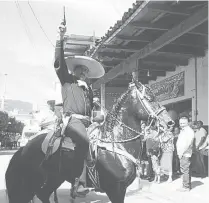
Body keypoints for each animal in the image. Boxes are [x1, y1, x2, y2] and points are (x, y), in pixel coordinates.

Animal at [5, 79, 175, 203]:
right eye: (150, 98)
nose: (169, 123)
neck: (116, 143)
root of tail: (25, 147)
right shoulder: (116, 189)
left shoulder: (121, 189)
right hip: (34, 179)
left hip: (55, 178)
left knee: (43, 194)